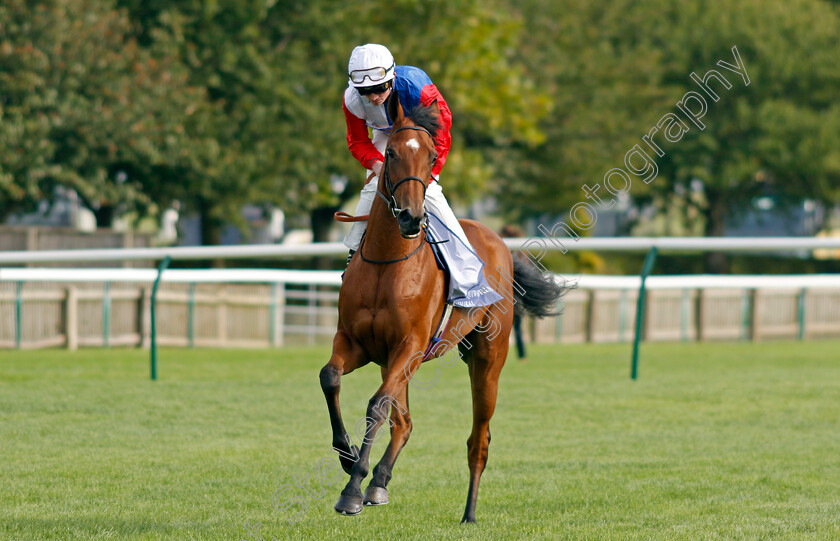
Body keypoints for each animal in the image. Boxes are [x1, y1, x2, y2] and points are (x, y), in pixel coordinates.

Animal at [322, 89, 564, 524]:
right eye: (392, 153)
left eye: (432, 155)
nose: (410, 216)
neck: (388, 262)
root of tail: (499, 241)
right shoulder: (357, 342)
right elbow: (330, 377)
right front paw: (349, 458)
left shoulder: (410, 347)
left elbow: (376, 405)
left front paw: (351, 490)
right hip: (394, 361)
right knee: (405, 422)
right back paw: (379, 484)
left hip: (487, 360)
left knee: (478, 440)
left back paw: (468, 513)